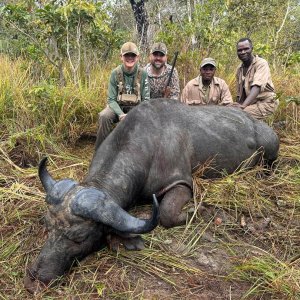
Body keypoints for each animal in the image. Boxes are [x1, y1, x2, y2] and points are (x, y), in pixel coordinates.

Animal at [24, 99, 278, 292]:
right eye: (48, 226)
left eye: (79, 237)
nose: (35, 277)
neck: (148, 144)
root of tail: (261, 127)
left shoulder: (181, 184)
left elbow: (166, 214)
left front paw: (199, 211)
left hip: (271, 154)